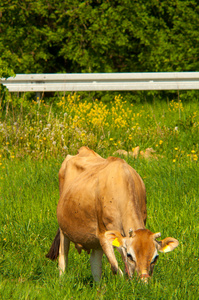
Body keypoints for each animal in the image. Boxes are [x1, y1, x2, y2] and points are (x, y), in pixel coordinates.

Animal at [46, 147, 179, 282]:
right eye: (130, 256)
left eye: (155, 258)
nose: (143, 281)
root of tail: (83, 150)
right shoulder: (103, 234)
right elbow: (116, 268)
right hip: (64, 229)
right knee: (63, 258)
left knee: (95, 264)